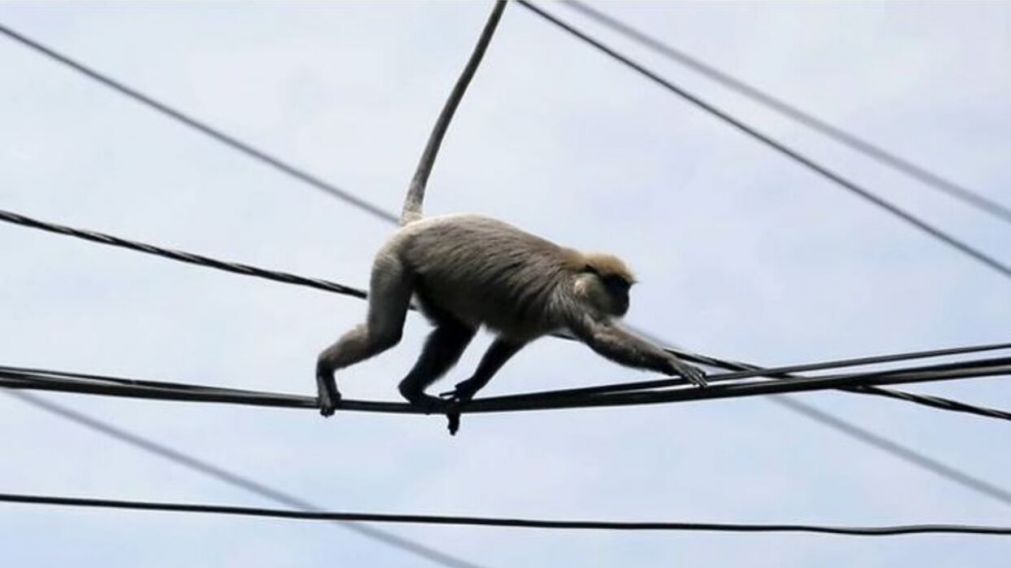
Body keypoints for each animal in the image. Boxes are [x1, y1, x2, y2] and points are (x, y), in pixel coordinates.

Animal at [314, 1, 707, 432]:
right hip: (393, 261)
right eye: (619, 286)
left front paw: (470, 387)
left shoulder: (540, 318)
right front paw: (671, 362)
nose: (626, 300)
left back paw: (410, 390)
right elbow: (602, 339)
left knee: (455, 329)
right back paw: (325, 368)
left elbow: (507, 343)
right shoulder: (569, 300)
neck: (577, 273)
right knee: (386, 333)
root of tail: (420, 222)